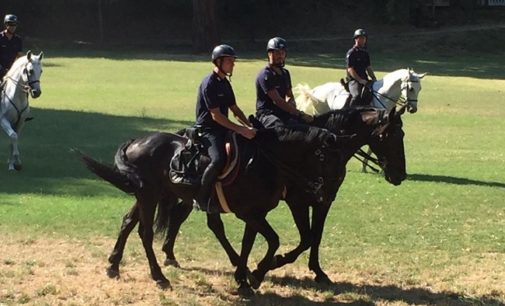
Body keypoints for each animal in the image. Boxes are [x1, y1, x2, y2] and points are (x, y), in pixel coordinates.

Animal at [79, 125, 338, 294]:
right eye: (322, 156)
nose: (325, 191)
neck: (264, 162)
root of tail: (136, 142)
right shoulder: (249, 213)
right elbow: (273, 240)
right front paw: (257, 274)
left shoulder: (256, 213)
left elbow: (249, 244)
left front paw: (244, 278)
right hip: (149, 195)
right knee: (145, 233)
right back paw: (159, 277)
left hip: (148, 195)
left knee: (128, 222)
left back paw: (113, 266)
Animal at [159, 107, 408, 290]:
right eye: (389, 135)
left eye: (402, 135)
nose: (400, 175)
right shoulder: (297, 202)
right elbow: (305, 238)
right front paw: (273, 263)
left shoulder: (322, 202)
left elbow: (315, 236)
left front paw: (318, 272)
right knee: (194, 220)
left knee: (191, 218)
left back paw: (171, 254)